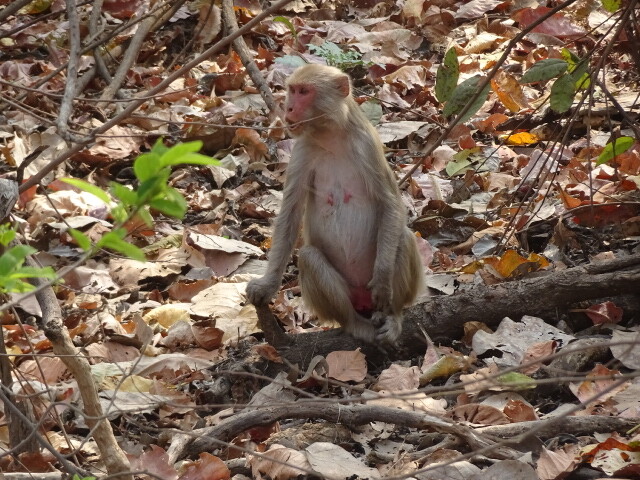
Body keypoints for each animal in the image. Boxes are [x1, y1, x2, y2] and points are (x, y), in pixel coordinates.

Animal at [246, 63, 424, 344]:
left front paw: (383, 280)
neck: (330, 136)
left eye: (304, 92)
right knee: (309, 257)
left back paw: (393, 317)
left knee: (403, 236)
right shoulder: (301, 150)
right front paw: (267, 285)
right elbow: (290, 215)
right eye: (292, 90)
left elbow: (391, 204)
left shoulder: (366, 144)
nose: (288, 108)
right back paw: (355, 324)